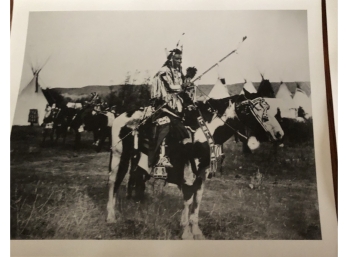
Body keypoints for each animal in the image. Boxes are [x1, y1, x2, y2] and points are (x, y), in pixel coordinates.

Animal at [106, 89, 286, 238]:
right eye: (253, 109)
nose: (279, 134)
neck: (205, 131)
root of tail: (121, 116)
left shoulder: (202, 174)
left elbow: (197, 200)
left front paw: (196, 231)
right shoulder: (188, 174)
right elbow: (188, 199)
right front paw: (185, 232)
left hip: (135, 158)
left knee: (134, 177)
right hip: (119, 157)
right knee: (113, 183)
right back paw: (111, 216)